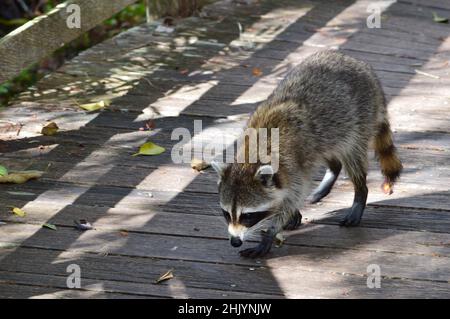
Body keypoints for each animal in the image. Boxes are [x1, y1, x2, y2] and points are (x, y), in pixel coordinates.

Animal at [212, 50, 404, 260]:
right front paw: (291, 215)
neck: (253, 155)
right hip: (329, 136)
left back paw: (360, 193)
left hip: (358, 121)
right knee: (332, 156)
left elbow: (292, 196)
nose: (235, 241)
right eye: (226, 214)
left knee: (352, 157)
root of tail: (361, 66)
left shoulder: (293, 165)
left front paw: (270, 233)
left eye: (247, 216)